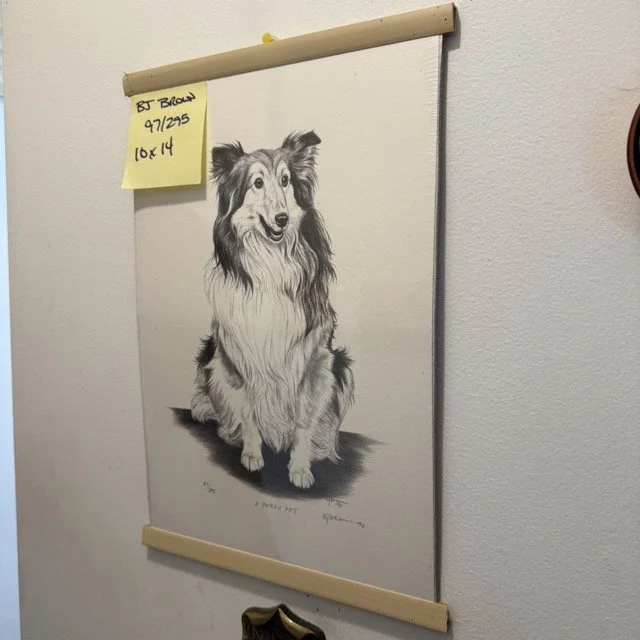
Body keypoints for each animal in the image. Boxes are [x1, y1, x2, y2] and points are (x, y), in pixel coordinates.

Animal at [190, 131, 354, 489]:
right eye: (257, 183)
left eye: (285, 180)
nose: (281, 219)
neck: (271, 261)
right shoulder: (239, 357)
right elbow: (249, 412)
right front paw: (252, 455)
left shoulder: (314, 360)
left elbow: (304, 420)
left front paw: (300, 468)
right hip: (214, 359)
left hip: (339, 366)